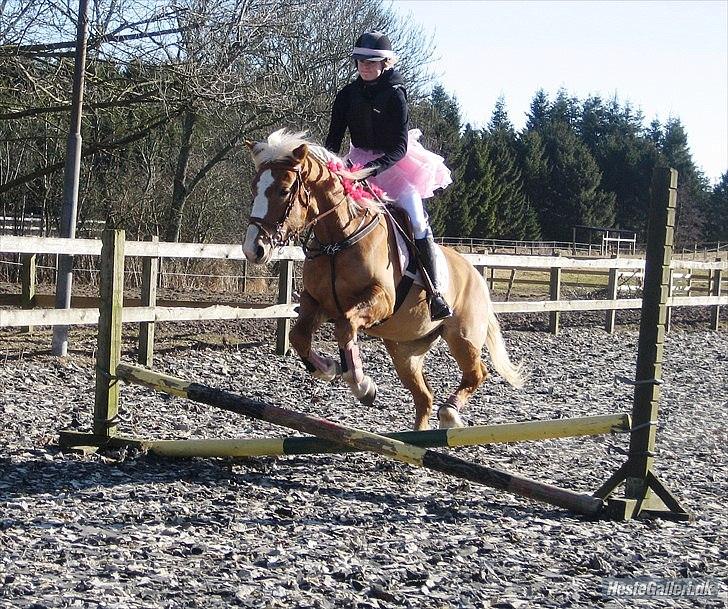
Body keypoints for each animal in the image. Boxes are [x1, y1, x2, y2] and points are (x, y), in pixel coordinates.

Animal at [243, 130, 524, 430]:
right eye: (254, 188)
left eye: (284, 191)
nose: (253, 249)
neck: (337, 241)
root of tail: (476, 275)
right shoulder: (316, 301)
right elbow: (298, 337)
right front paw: (329, 369)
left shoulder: (381, 300)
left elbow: (346, 326)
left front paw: (362, 385)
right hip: (405, 349)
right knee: (424, 397)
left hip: (463, 335)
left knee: (477, 373)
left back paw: (450, 414)